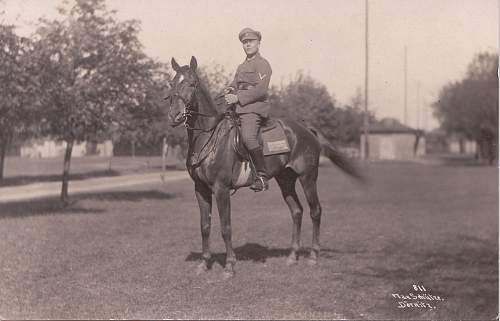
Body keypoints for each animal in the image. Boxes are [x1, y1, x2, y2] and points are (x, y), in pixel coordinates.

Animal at [166, 55, 366, 278]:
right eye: (172, 83)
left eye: (192, 84)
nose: (175, 116)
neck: (208, 136)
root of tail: (306, 128)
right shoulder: (200, 189)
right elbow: (205, 226)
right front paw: (204, 263)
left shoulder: (221, 189)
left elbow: (226, 227)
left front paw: (229, 266)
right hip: (285, 180)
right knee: (296, 211)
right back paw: (292, 256)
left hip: (308, 177)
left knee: (316, 211)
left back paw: (313, 256)